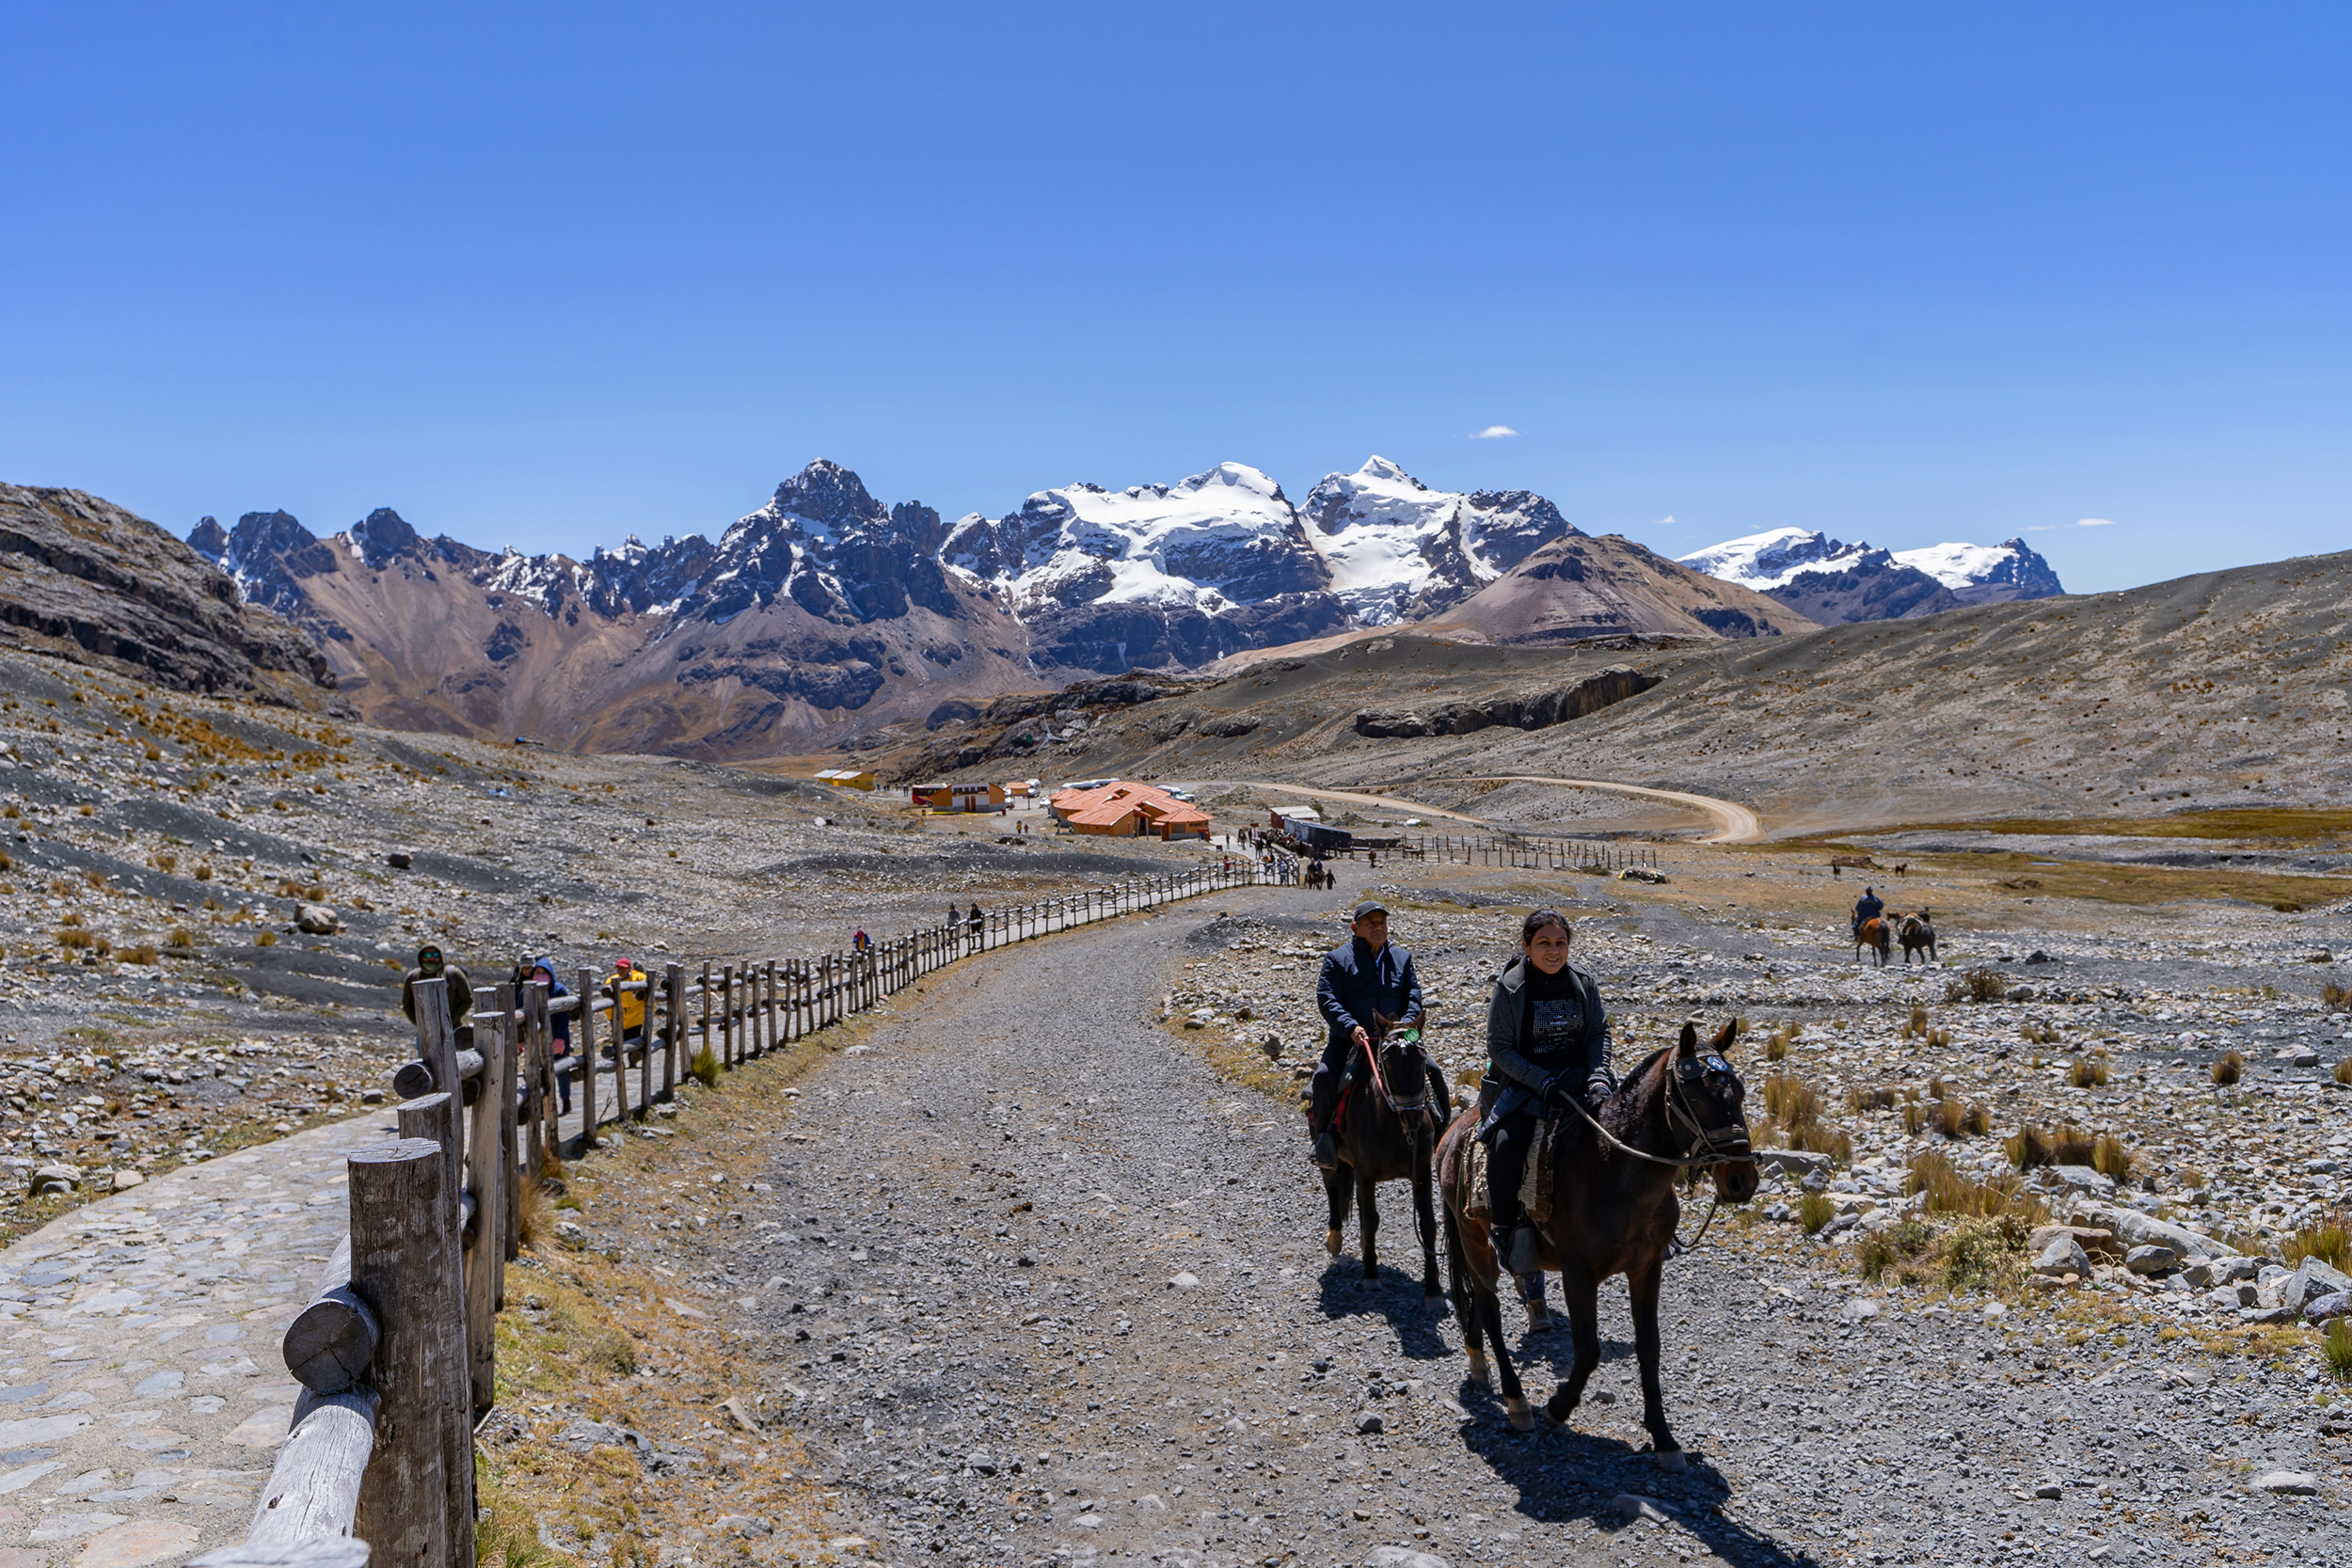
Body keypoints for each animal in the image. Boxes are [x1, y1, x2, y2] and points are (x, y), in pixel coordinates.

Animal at [1327, 1010, 1449, 1297]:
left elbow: (1428, 1224)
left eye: (1421, 1059)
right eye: (1387, 1062)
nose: (1413, 1115)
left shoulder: (1421, 1171)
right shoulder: (1365, 1174)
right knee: (1332, 1186)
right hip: (1331, 1159)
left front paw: (1433, 1289)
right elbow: (1371, 1219)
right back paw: (1335, 1239)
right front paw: (1371, 1275)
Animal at [1421, 1020, 1759, 1457]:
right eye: (1697, 1097)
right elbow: (1589, 1350)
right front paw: (1557, 1409)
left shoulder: (1646, 1268)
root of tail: (1453, 1131)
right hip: (1475, 1240)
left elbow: (1649, 1347)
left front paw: (1664, 1439)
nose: (1741, 1179)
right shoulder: (1578, 1274)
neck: (1616, 1172)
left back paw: (1479, 1365)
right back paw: (1517, 1402)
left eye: (1740, 1092)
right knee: (1489, 1308)